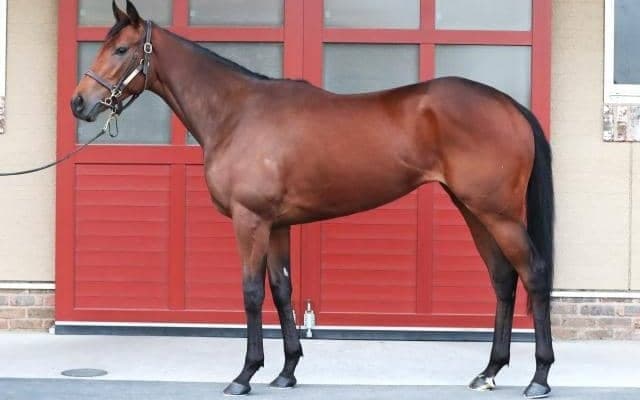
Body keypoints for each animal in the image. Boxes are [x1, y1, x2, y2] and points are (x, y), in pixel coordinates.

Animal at [70, 1, 555, 398]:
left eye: (121, 49)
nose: (79, 103)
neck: (236, 114)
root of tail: (508, 105)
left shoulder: (250, 221)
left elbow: (251, 292)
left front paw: (244, 375)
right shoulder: (277, 224)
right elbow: (282, 289)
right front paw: (286, 372)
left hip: (499, 214)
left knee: (532, 274)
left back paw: (539, 378)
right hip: (473, 209)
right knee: (502, 279)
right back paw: (489, 372)